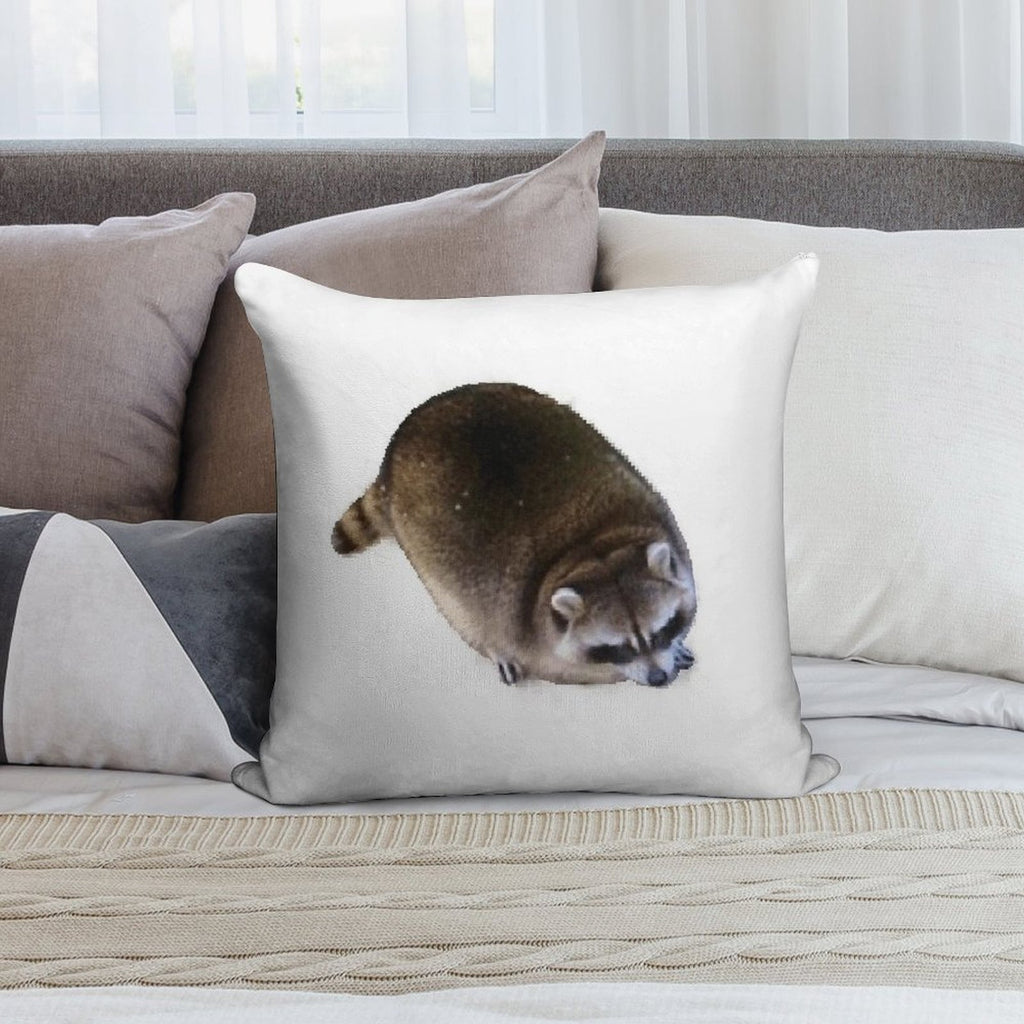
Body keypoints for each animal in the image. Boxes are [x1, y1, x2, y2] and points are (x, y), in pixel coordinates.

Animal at [332, 383, 696, 686]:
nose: (659, 679)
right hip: (426, 550)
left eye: (661, 630)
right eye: (618, 647)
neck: (592, 549)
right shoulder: (510, 613)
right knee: (460, 610)